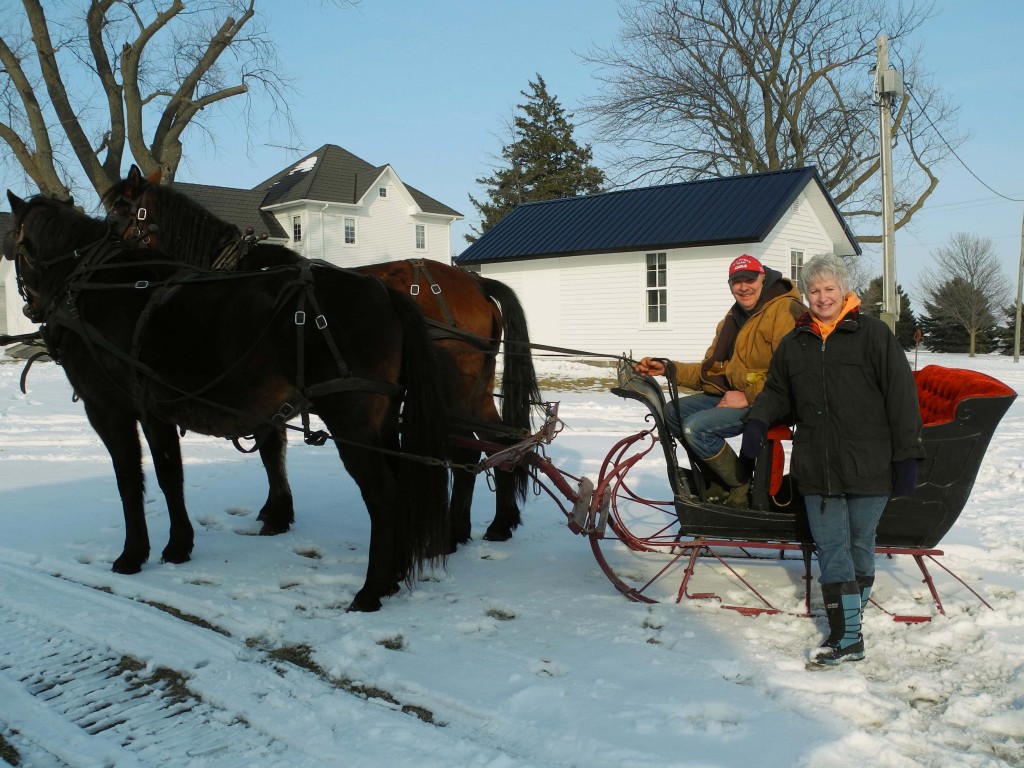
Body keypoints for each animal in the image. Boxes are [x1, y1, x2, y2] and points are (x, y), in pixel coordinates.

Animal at [4, 192, 452, 614]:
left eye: (15, 246)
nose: (32, 309)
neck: (99, 287)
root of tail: (385, 293)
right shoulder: (157, 412)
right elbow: (171, 478)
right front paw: (179, 545)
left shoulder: (109, 410)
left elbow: (131, 481)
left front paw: (134, 555)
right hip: (382, 421)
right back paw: (392, 575)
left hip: (352, 421)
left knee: (383, 494)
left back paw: (372, 589)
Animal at [101, 165, 544, 544]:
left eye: (121, 208)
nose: (100, 254)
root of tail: (477, 283)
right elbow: (273, 449)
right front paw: (276, 510)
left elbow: (270, 450)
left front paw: (277, 514)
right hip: (477, 388)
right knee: (501, 440)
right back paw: (499, 522)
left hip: (451, 390)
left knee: (467, 448)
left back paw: (456, 529)